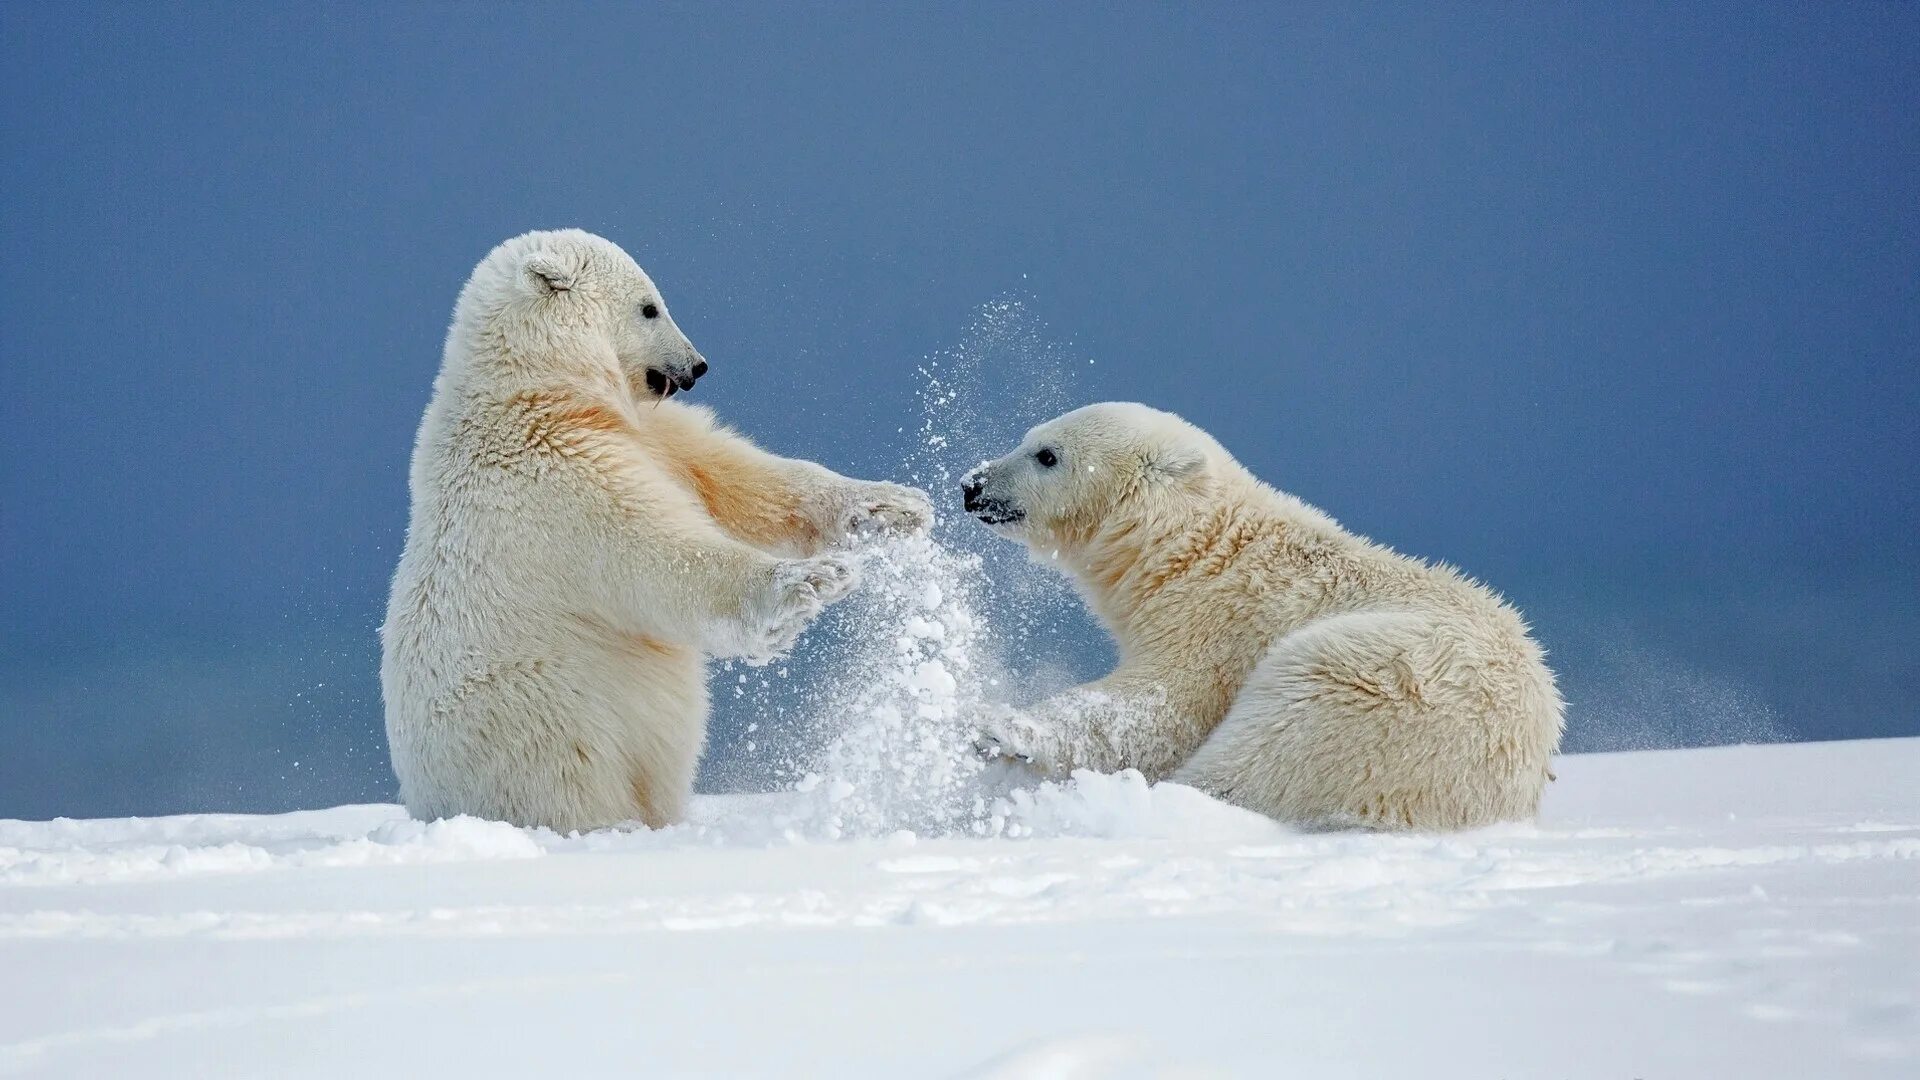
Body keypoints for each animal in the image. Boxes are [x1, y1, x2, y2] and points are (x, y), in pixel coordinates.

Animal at [380, 231, 929, 826]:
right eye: (649, 307)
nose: (699, 365)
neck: (533, 392)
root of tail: (425, 799)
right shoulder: (550, 478)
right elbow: (654, 550)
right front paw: (807, 585)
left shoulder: (654, 431)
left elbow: (739, 477)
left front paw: (892, 507)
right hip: (538, 715)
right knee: (574, 781)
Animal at [967, 399, 1566, 826]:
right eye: (1027, 439)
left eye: (1047, 454)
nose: (972, 485)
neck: (1190, 546)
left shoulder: (1215, 618)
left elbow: (1160, 704)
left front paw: (1000, 728)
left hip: (1384, 683)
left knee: (1271, 747)